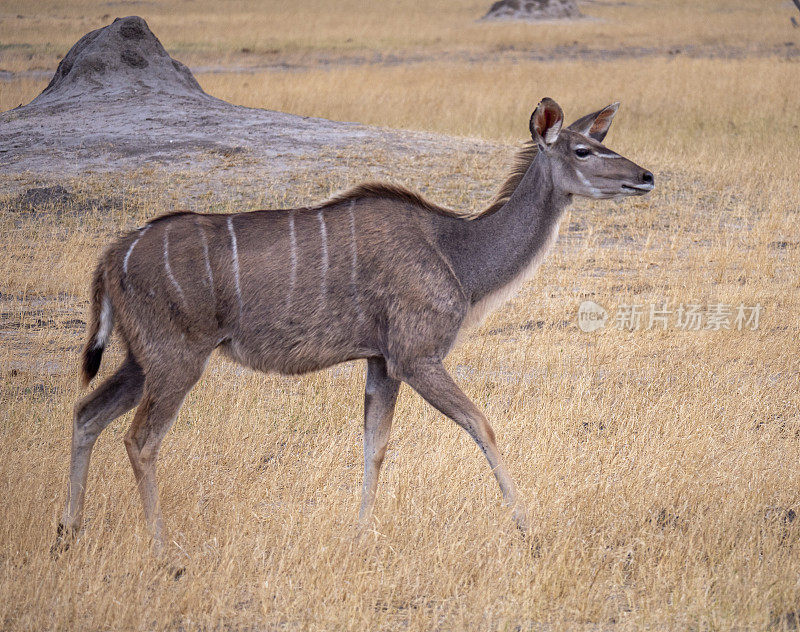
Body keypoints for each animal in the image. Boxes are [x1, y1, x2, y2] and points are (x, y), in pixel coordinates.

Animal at [56, 99, 656, 548]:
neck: (456, 254)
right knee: (141, 439)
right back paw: (161, 546)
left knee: (87, 412)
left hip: (141, 359)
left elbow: (375, 445)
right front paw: (527, 526)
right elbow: (481, 425)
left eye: (602, 142)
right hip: (176, 358)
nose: (646, 176)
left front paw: (361, 533)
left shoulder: (380, 361)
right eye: (583, 149)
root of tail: (110, 258)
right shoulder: (416, 356)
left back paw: (68, 533)